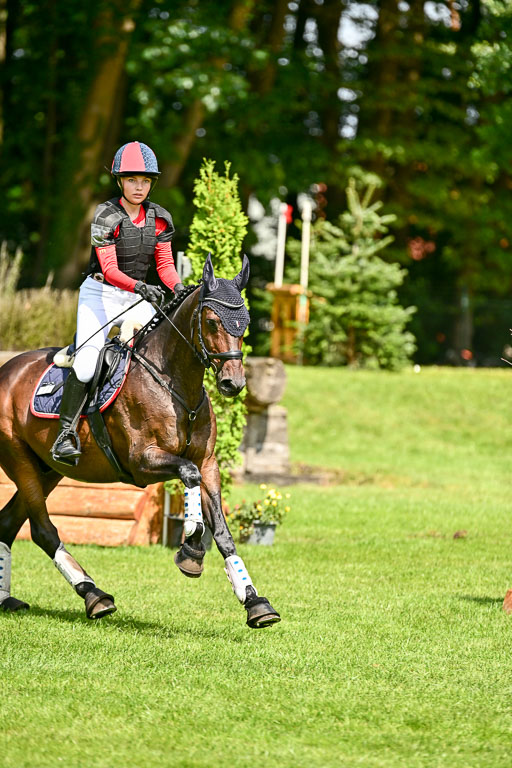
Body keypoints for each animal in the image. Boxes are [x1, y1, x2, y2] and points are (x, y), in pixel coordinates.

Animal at [0, 254, 280, 629]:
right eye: (211, 321)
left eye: (246, 323)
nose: (232, 384)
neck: (174, 382)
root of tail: (6, 371)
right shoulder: (142, 462)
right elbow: (188, 475)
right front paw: (192, 547)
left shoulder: (209, 465)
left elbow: (223, 532)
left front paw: (255, 602)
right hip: (20, 462)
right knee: (43, 530)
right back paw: (94, 596)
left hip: (47, 469)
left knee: (7, 524)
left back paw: (6, 599)